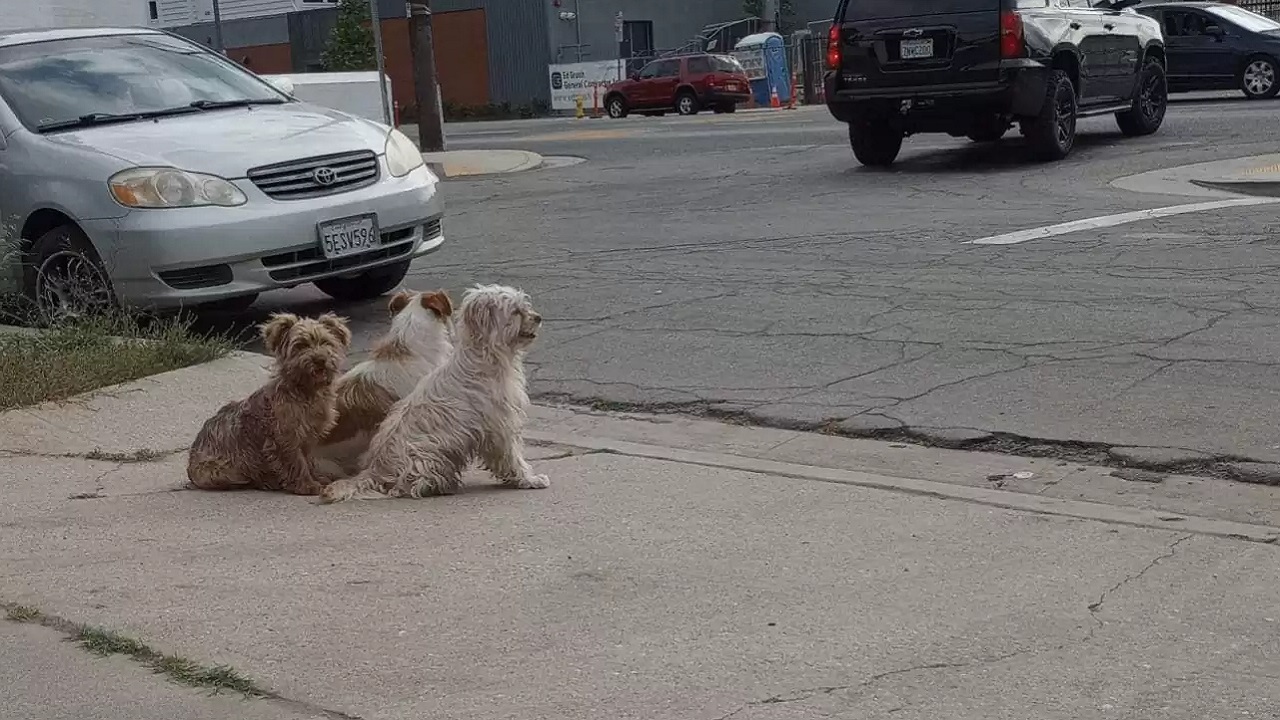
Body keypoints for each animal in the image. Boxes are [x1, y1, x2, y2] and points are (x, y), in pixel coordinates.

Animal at [186, 311, 353, 497]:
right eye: (300, 345)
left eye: (326, 342)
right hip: (222, 471)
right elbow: (296, 462)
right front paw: (306, 485)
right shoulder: (286, 438)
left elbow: (307, 460)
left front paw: (315, 477)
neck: (305, 391)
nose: (320, 359)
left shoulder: (308, 438)